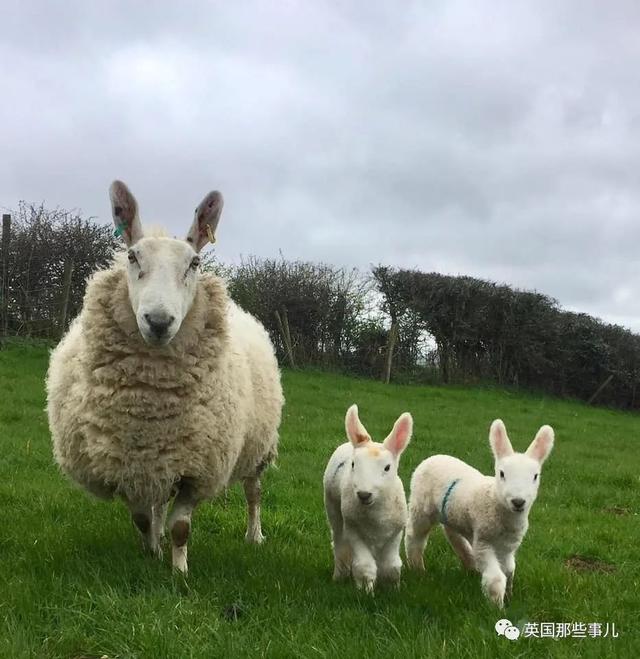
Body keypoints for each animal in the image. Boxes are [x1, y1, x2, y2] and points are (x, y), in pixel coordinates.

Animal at [46, 180, 284, 572]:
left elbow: (181, 527)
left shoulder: (197, 469)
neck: (150, 403)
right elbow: (143, 518)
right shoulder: (130, 463)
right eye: (132, 257)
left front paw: (178, 571)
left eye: (194, 262)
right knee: (158, 500)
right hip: (162, 459)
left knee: (253, 492)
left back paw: (255, 535)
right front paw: (152, 551)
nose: (158, 322)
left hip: (258, 446)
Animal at [322, 404, 412, 596]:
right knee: (339, 543)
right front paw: (366, 591)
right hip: (333, 509)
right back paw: (339, 575)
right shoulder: (353, 530)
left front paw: (393, 589)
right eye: (353, 464)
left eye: (387, 468)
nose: (364, 494)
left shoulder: (395, 533)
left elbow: (392, 566)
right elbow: (364, 566)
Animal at [408, 422, 552, 608]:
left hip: (452, 514)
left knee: (453, 534)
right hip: (421, 507)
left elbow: (510, 571)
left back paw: (470, 565)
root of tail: (432, 458)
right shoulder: (484, 543)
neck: (494, 501)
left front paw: (509, 596)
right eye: (502, 474)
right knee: (415, 537)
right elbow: (496, 578)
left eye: (535, 476)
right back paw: (417, 568)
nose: (518, 502)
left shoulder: (508, 547)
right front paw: (497, 606)